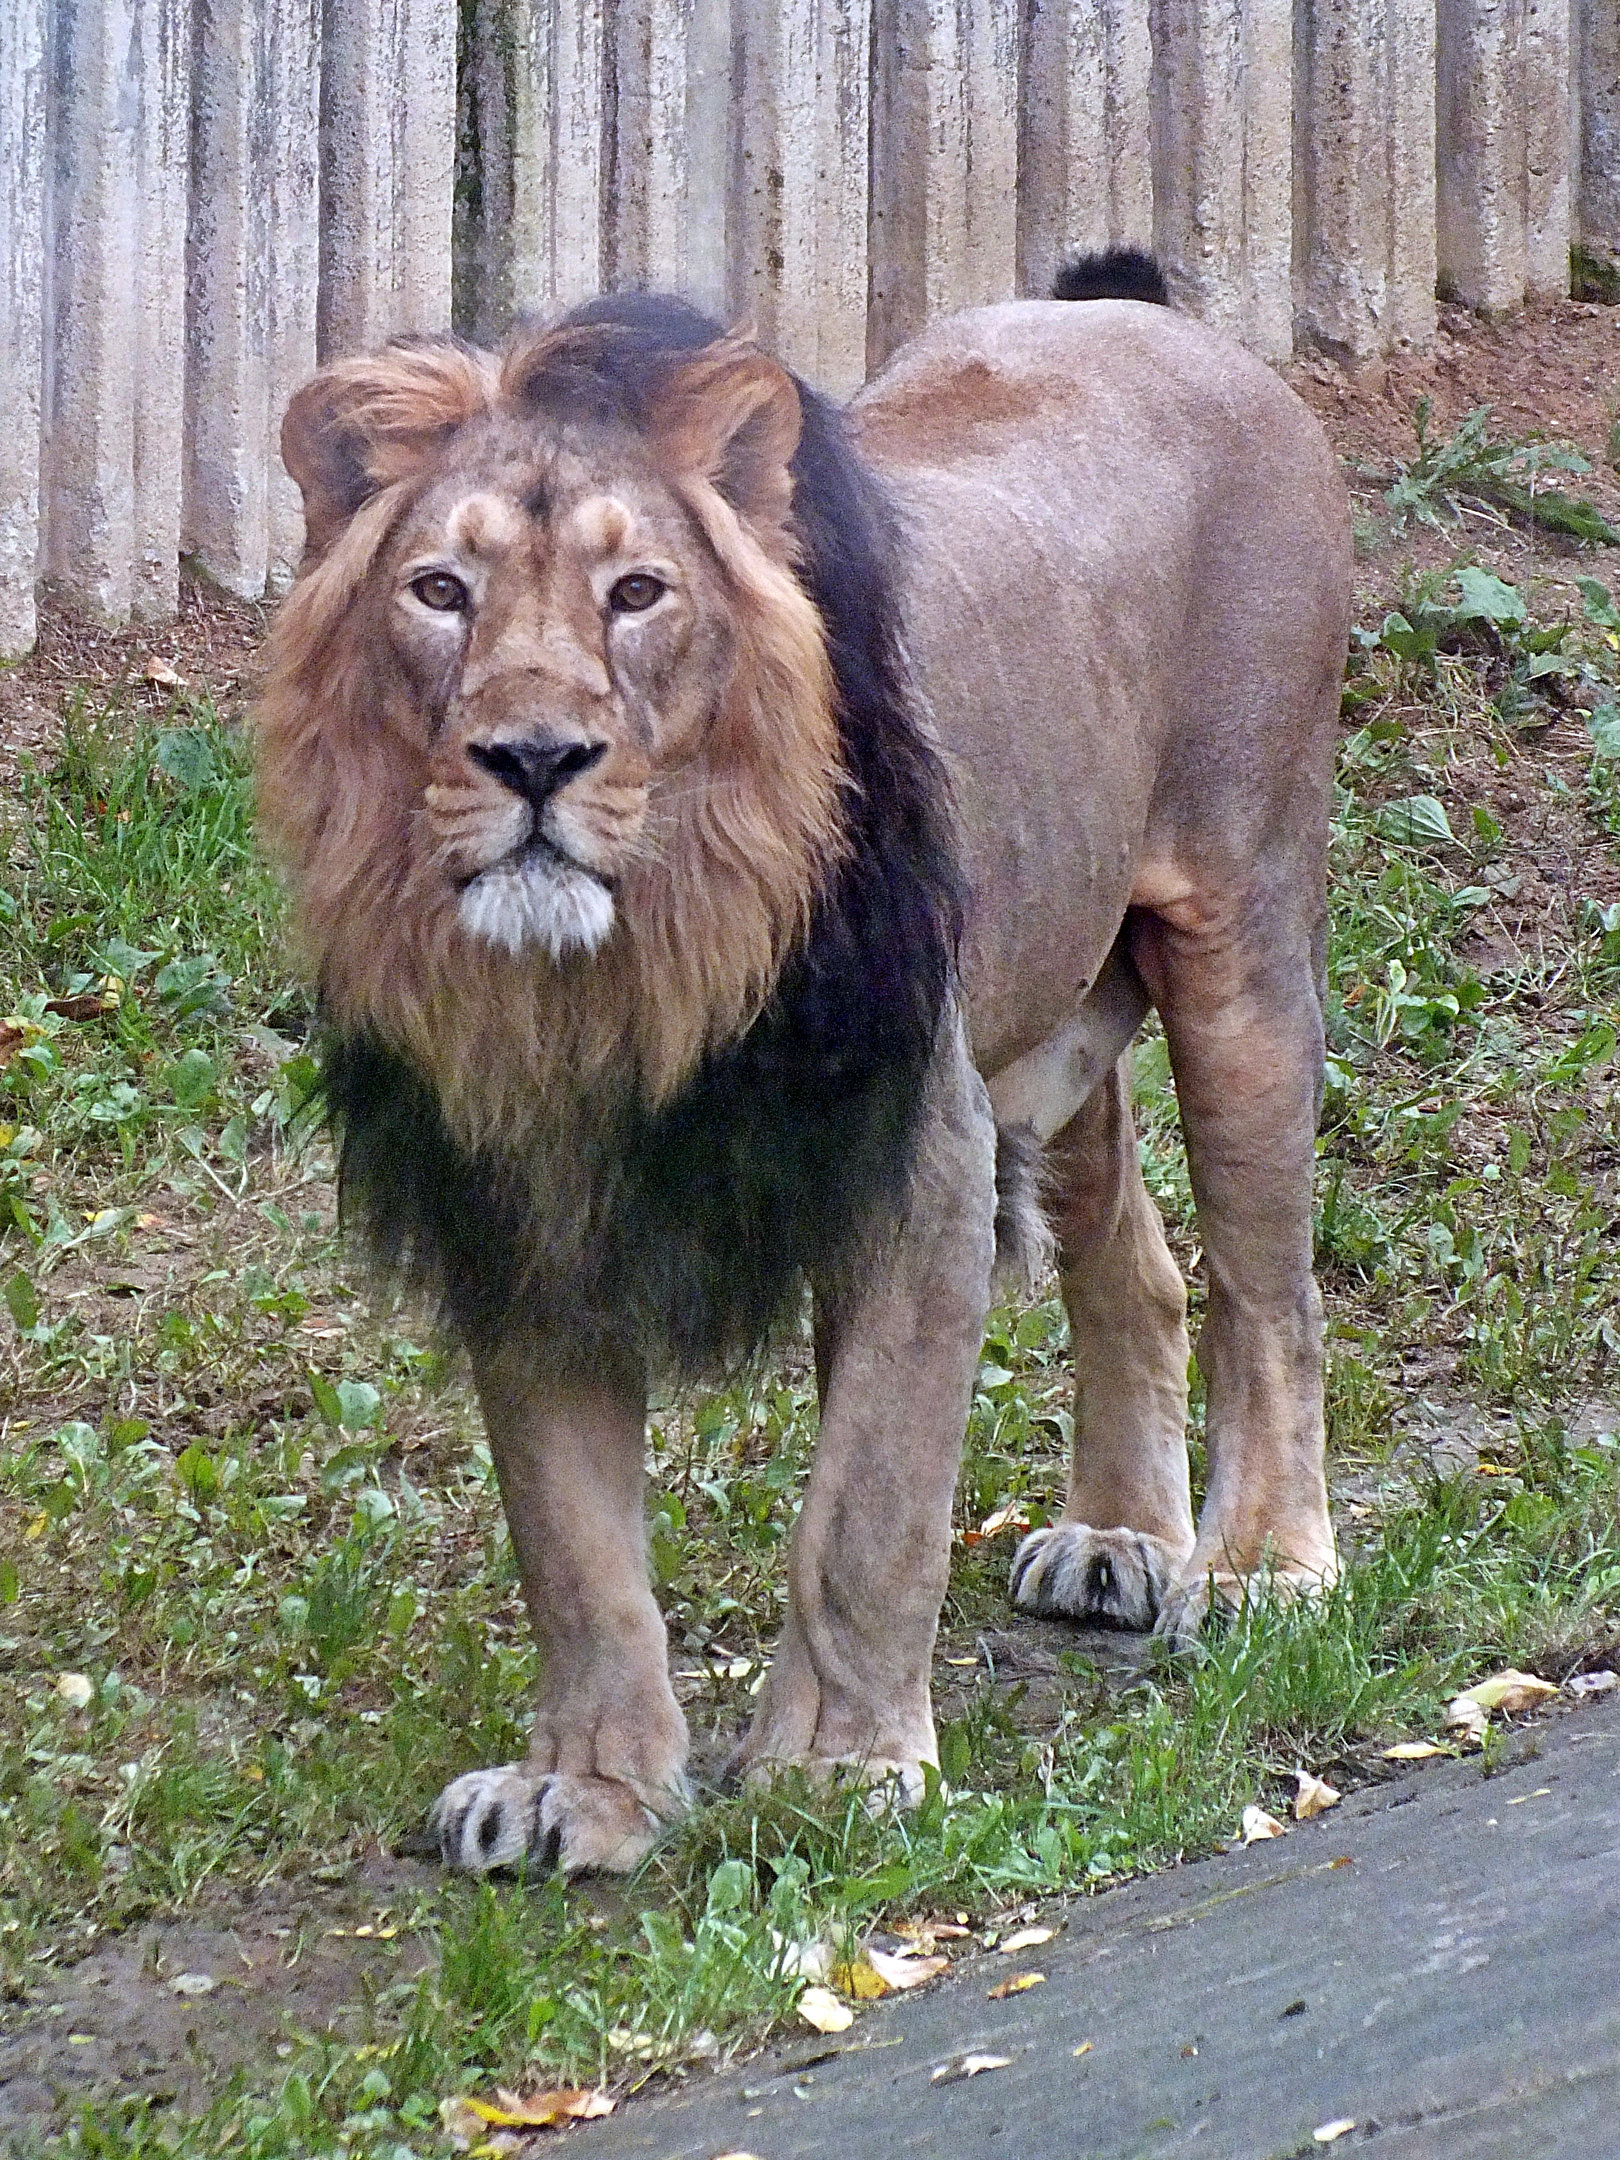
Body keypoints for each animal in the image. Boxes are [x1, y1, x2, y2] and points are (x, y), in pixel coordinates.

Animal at [258, 250, 1349, 1876]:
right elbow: (573, 1546)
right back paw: (1119, 1538)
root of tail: (1153, 317)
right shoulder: (522, 1208)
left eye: (637, 592)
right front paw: (586, 1790)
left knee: (1267, 1286)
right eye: (440, 593)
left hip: (1240, 933)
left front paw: (837, 1772)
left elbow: (866, 1511)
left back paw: (1265, 1563)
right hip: (1045, 999)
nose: (533, 759)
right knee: (1139, 1258)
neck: (616, 981)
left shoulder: (915, 1161)